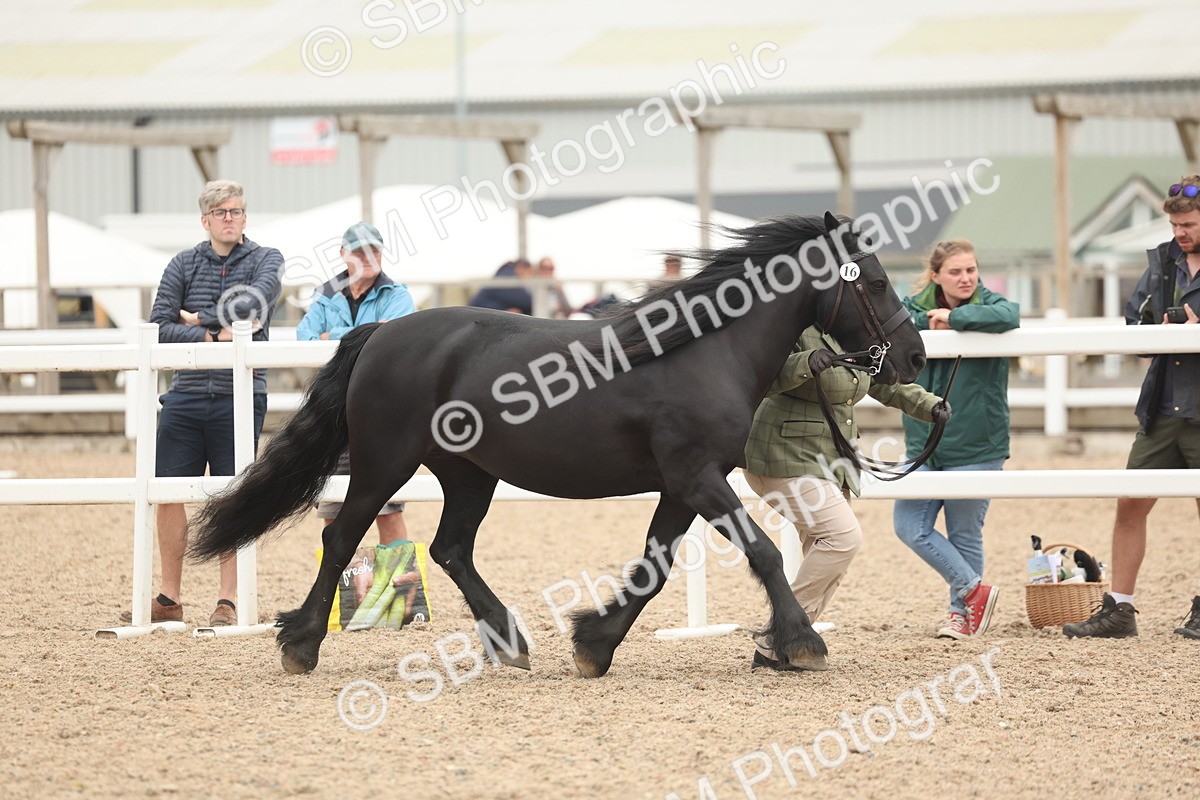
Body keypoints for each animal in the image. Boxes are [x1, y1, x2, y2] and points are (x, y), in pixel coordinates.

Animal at [190, 211, 926, 677]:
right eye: (877, 282)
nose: (914, 357)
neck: (703, 352)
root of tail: (381, 334)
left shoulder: (683, 485)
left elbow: (654, 567)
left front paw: (594, 644)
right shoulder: (698, 478)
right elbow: (765, 554)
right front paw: (802, 643)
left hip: (468, 474)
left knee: (450, 549)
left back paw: (509, 641)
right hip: (383, 464)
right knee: (342, 537)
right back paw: (301, 644)